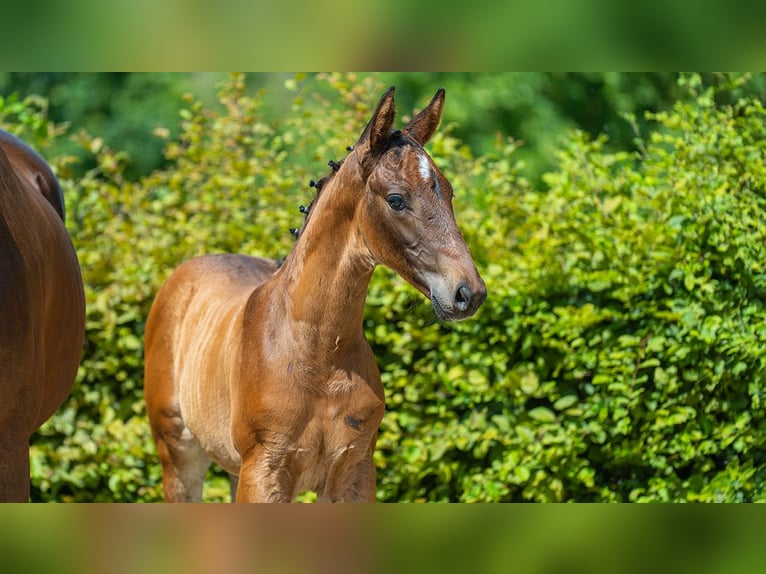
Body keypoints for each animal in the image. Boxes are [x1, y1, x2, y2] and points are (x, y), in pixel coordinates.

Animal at [147, 86, 488, 504]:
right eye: (396, 199)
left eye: (449, 192)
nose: (468, 292)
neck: (319, 356)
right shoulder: (265, 474)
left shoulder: (354, 472)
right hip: (179, 455)